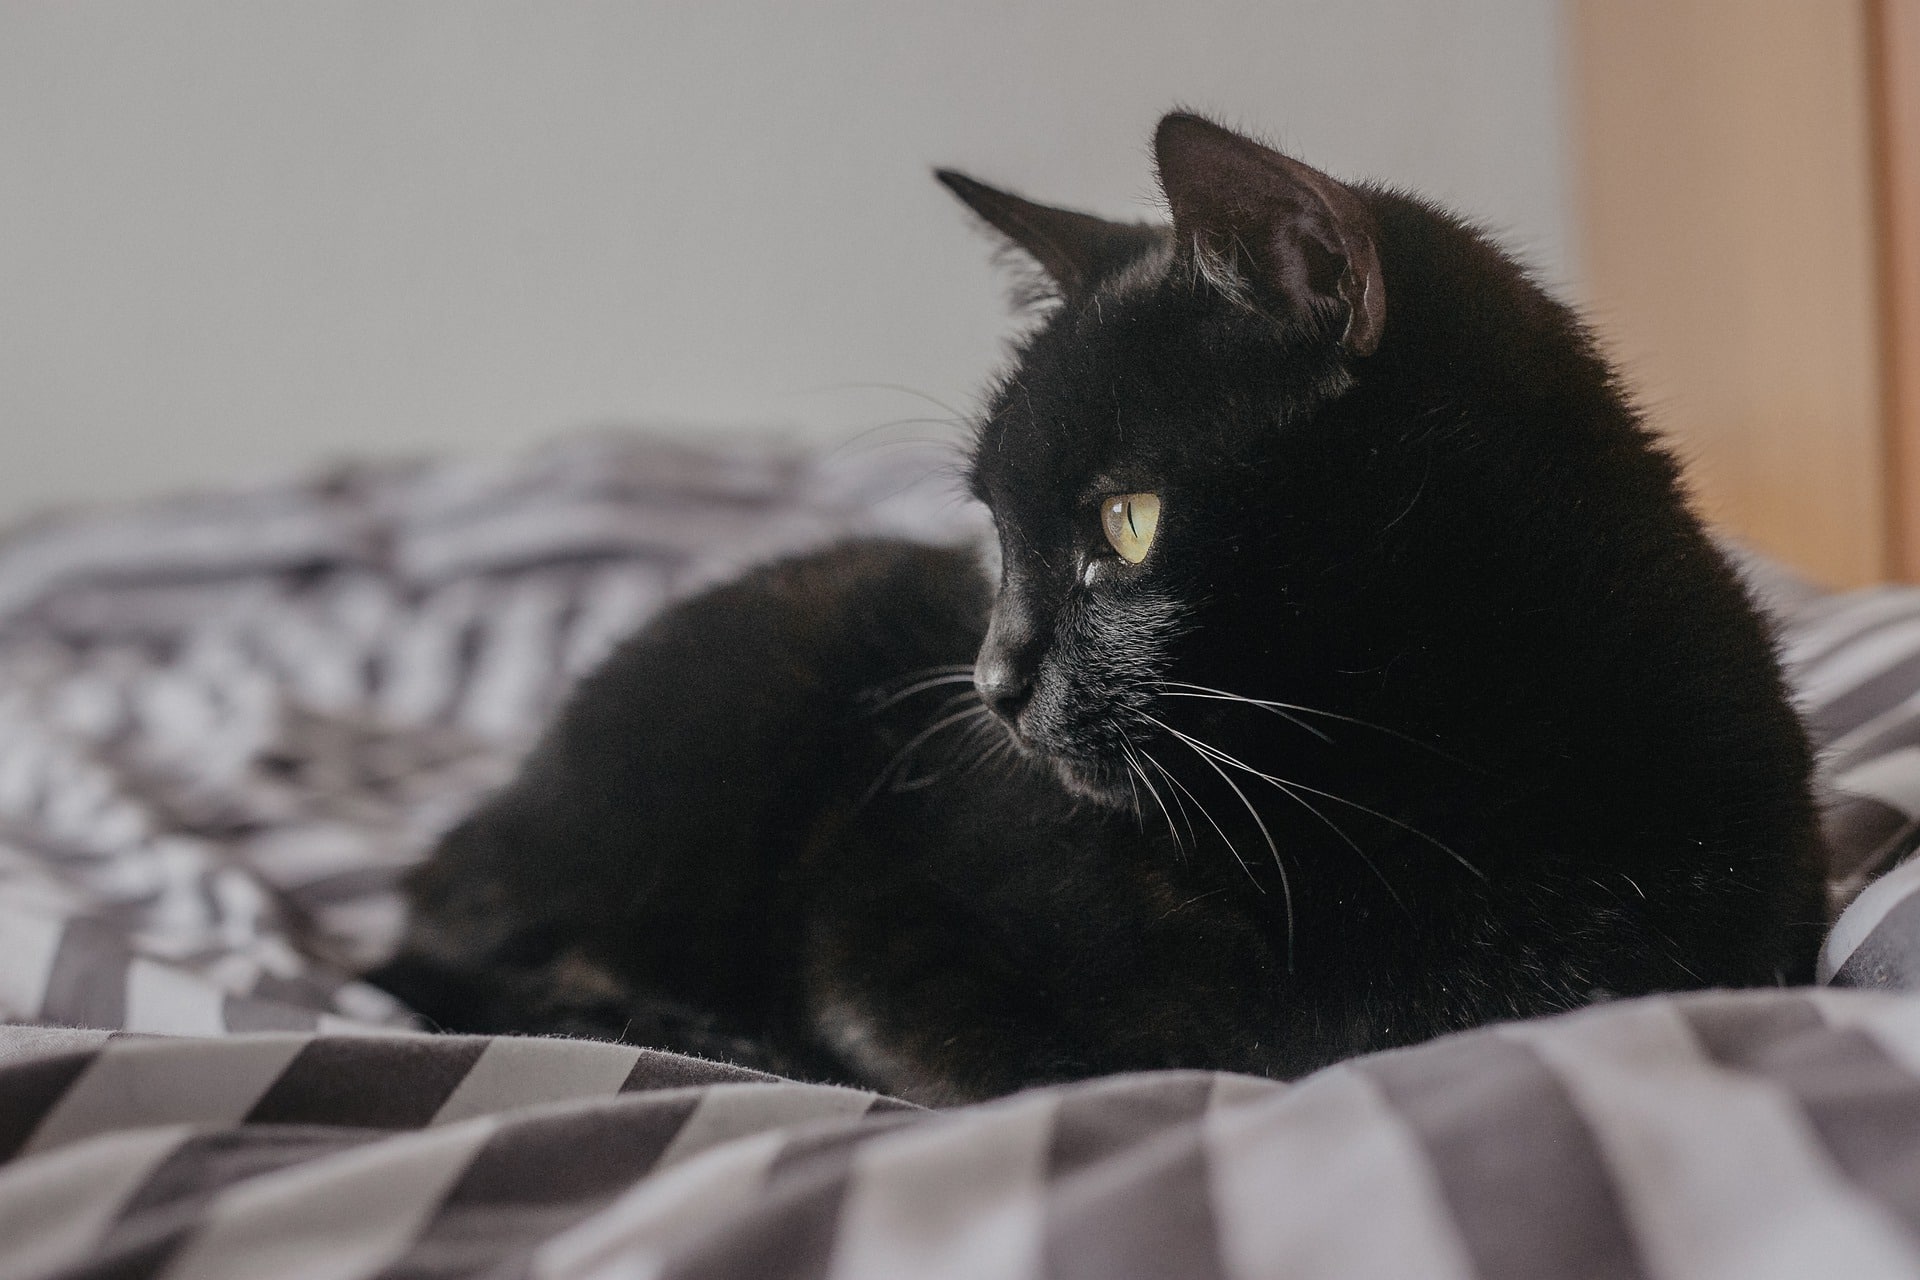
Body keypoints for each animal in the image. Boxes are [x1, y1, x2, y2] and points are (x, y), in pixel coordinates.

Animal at [374, 115, 1827, 1105]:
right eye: (995, 533)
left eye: (1126, 525)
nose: (989, 683)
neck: (1410, 793)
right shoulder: (875, 933)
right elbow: (1069, 1068)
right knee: (445, 945)